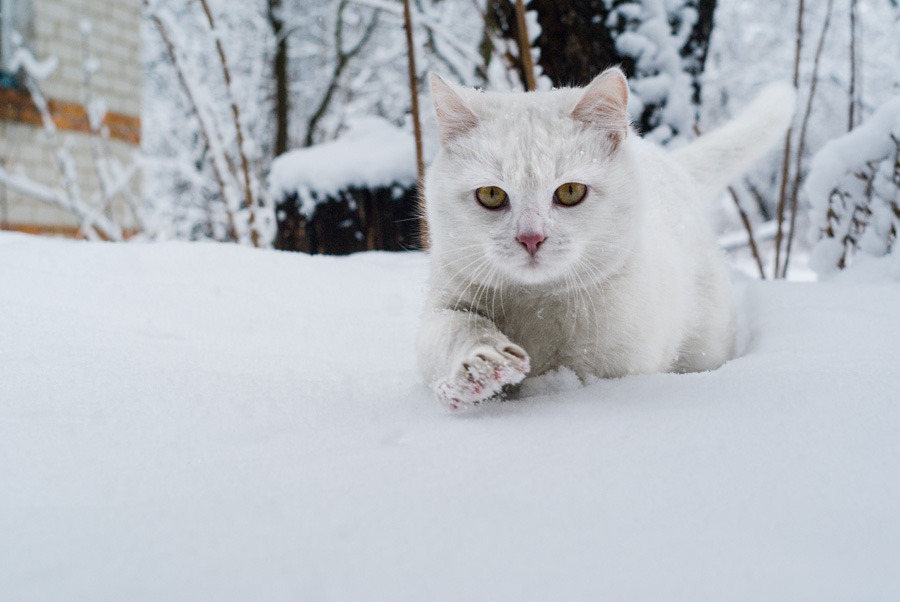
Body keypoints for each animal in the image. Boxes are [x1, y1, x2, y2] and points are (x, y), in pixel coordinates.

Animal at [416, 69, 796, 408]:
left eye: (570, 192)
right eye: (492, 195)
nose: (531, 237)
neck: (537, 306)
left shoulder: (617, 363)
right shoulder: (444, 304)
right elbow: (457, 327)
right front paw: (480, 369)